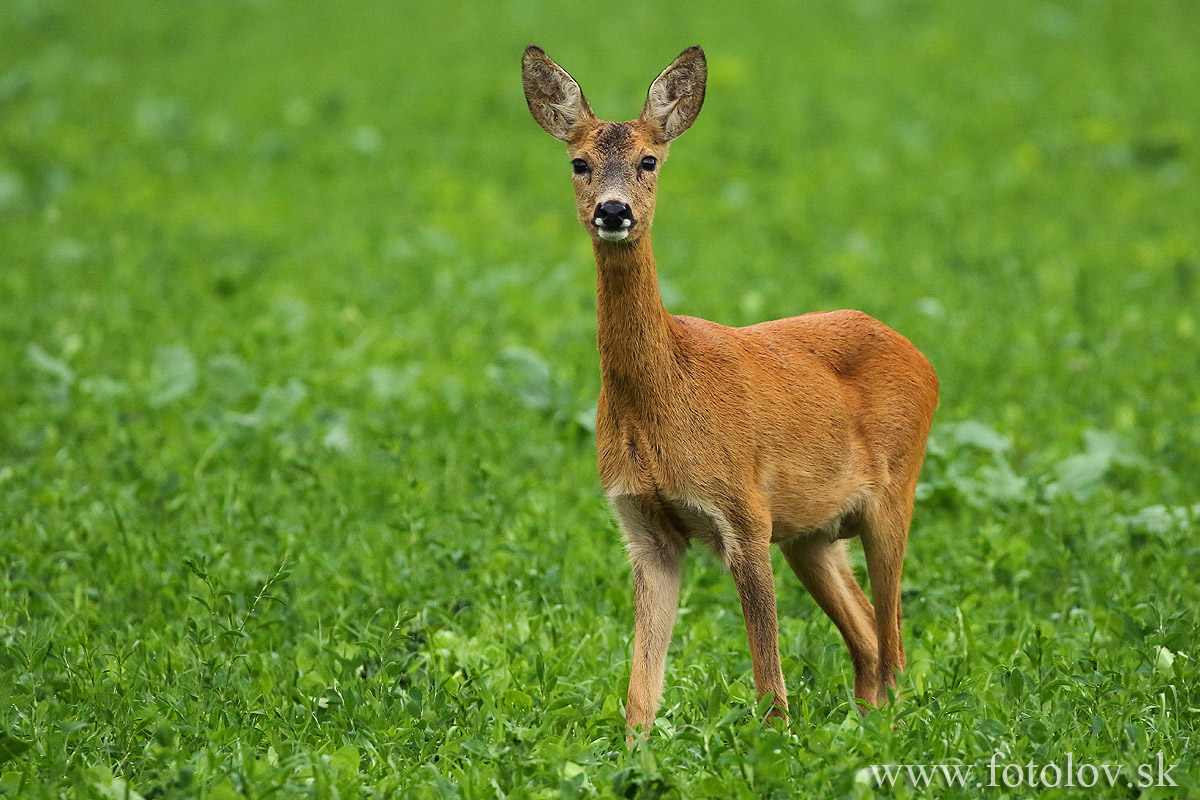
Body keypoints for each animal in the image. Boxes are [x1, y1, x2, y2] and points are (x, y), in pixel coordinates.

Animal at [520, 45, 940, 738]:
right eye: (578, 162)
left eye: (650, 160)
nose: (614, 211)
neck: (663, 402)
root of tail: (925, 360)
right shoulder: (645, 529)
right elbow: (640, 690)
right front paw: (634, 752)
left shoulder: (743, 512)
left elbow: (768, 673)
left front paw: (776, 745)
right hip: (812, 534)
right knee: (869, 641)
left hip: (893, 495)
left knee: (896, 643)